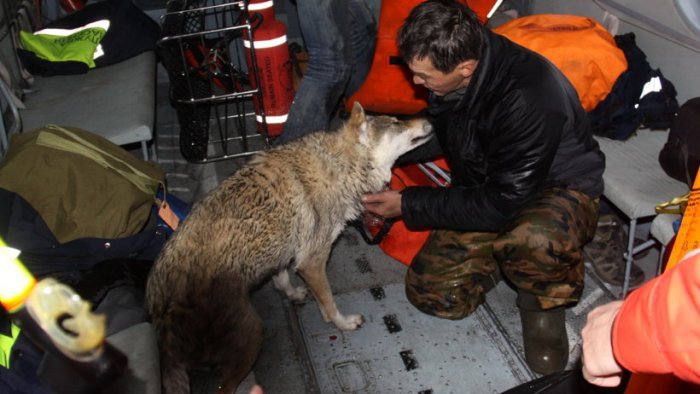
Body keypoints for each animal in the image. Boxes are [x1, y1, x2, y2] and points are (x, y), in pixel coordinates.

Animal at [144, 103, 432, 392]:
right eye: (395, 122)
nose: (430, 119)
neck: (340, 166)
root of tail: (159, 308)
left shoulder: (286, 249)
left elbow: (282, 278)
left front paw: (292, 294)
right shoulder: (313, 261)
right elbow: (329, 303)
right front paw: (344, 323)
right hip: (253, 332)